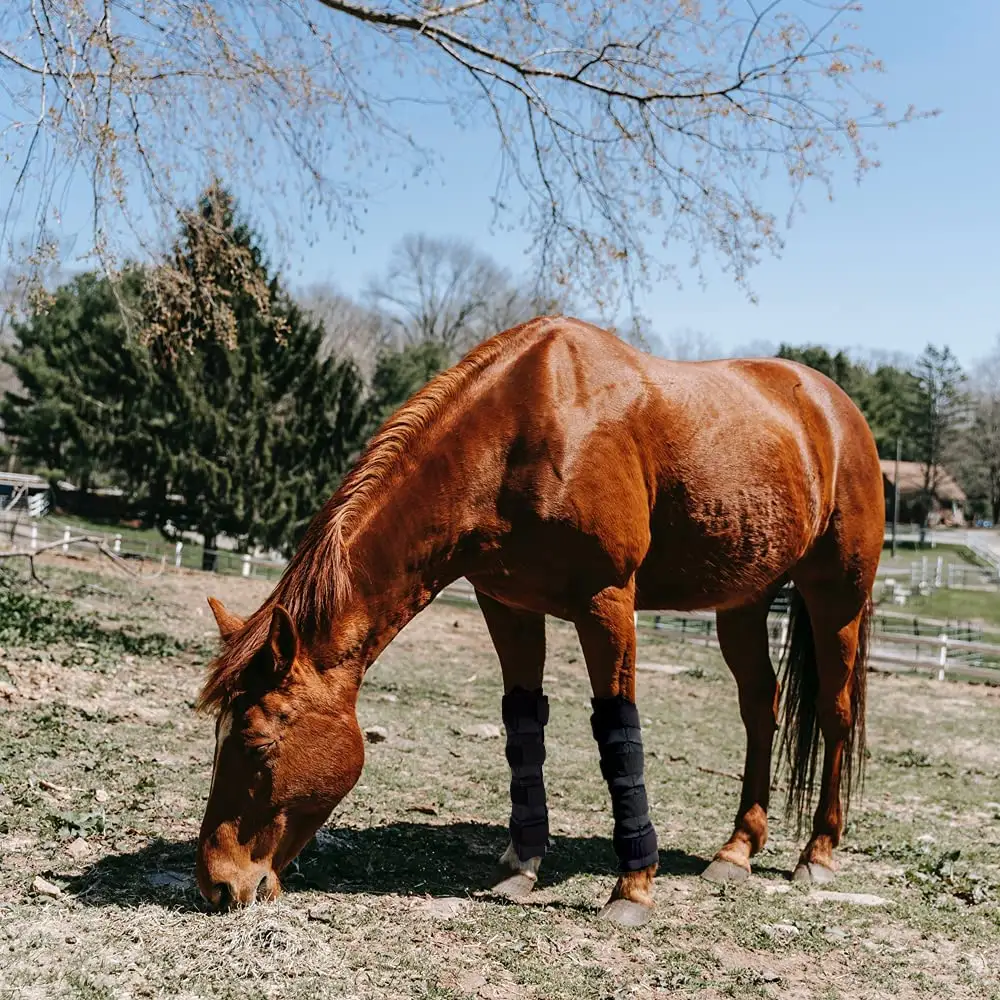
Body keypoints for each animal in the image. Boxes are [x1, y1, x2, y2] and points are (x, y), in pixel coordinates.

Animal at [195, 316, 884, 924]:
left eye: (258, 742)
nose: (219, 883)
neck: (529, 429)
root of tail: (835, 408)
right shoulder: (509, 606)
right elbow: (523, 726)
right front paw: (522, 864)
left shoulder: (608, 603)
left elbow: (617, 731)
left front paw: (633, 888)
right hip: (743, 603)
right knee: (760, 708)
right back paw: (738, 849)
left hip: (837, 599)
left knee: (836, 714)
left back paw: (818, 852)